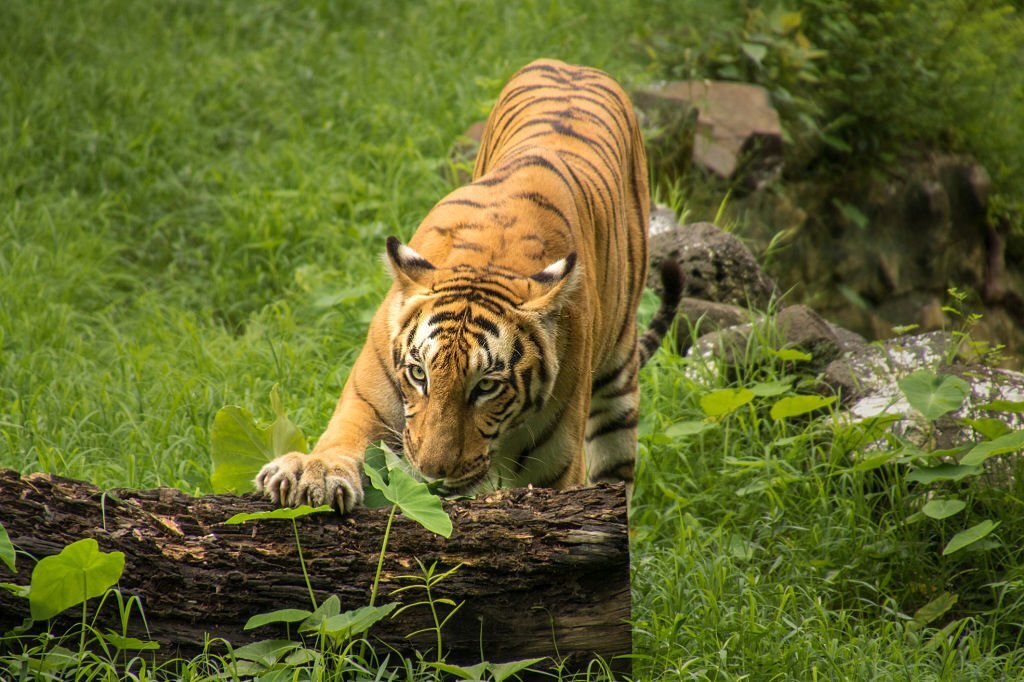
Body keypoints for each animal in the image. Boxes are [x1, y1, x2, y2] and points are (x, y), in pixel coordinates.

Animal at [258, 59, 679, 509]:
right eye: (419, 375)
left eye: (487, 386)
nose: (431, 473)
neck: (489, 260)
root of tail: (572, 66)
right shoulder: (368, 400)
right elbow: (342, 439)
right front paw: (310, 473)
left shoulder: (557, 465)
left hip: (619, 380)